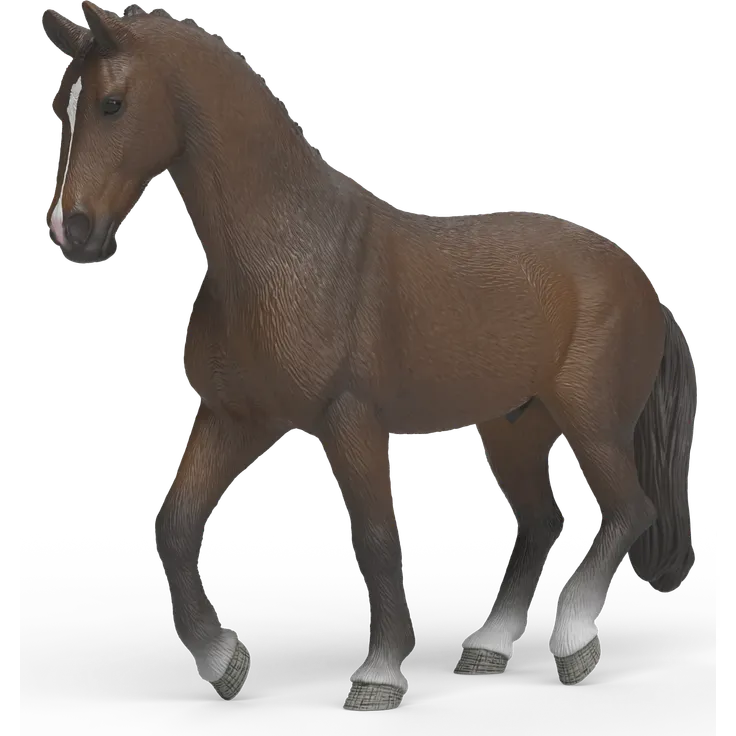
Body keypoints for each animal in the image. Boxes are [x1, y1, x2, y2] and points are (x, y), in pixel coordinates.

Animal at [42, 1, 698, 712]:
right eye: (60, 106)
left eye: (112, 103)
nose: (71, 230)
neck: (289, 251)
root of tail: (640, 282)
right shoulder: (236, 419)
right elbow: (176, 526)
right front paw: (223, 661)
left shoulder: (349, 419)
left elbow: (377, 539)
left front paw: (380, 674)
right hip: (514, 427)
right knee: (542, 522)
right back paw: (488, 645)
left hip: (592, 420)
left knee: (630, 510)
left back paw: (573, 639)